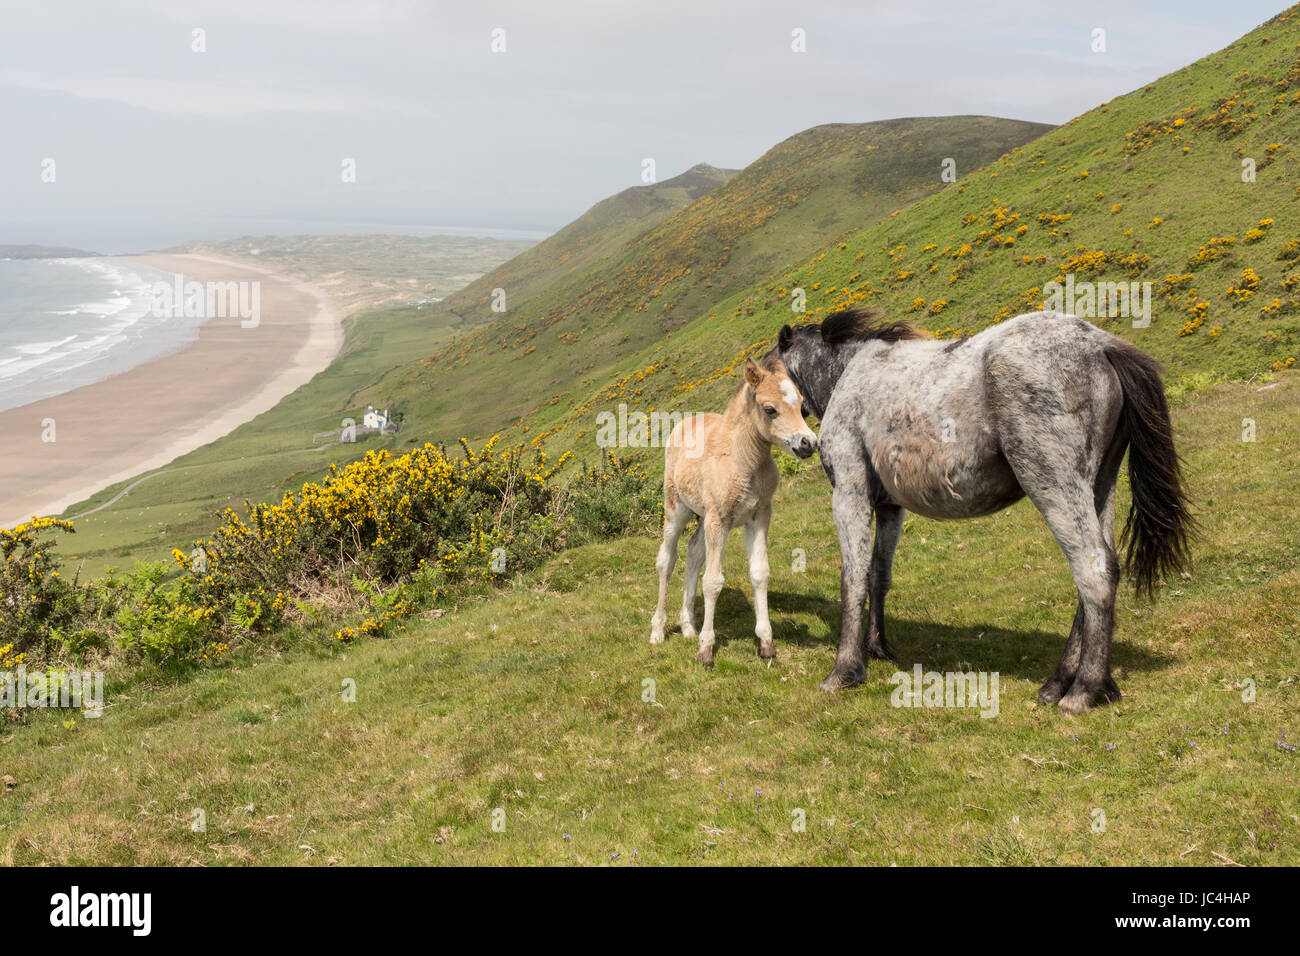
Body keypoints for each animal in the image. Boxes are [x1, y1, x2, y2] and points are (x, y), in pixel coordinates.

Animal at [774, 306, 1190, 712]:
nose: (801, 443)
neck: (852, 372)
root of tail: (1102, 346)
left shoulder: (850, 494)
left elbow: (853, 579)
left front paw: (845, 670)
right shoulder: (891, 507)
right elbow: (879, 575)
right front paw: (878, 647)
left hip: (1055, 486)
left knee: (1093, 570)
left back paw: (1083, 691)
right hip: (1098, 487)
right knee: (1099, 571)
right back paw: (1060, 683)